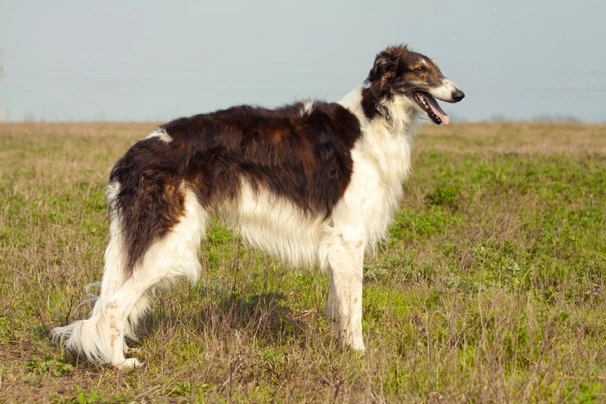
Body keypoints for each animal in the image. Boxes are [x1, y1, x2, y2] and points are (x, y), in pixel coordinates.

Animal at [54, 45, 468, 370]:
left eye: (437, 67)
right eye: (420, 70)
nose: (460, 93)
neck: (372, 119)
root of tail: (133, 154)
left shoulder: (338, 243)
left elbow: (338, 305)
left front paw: (341, 349)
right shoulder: (349, 238)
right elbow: (354, 308)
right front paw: (358, 354)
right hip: (168, 243)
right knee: (112, 306)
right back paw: (119, 364)